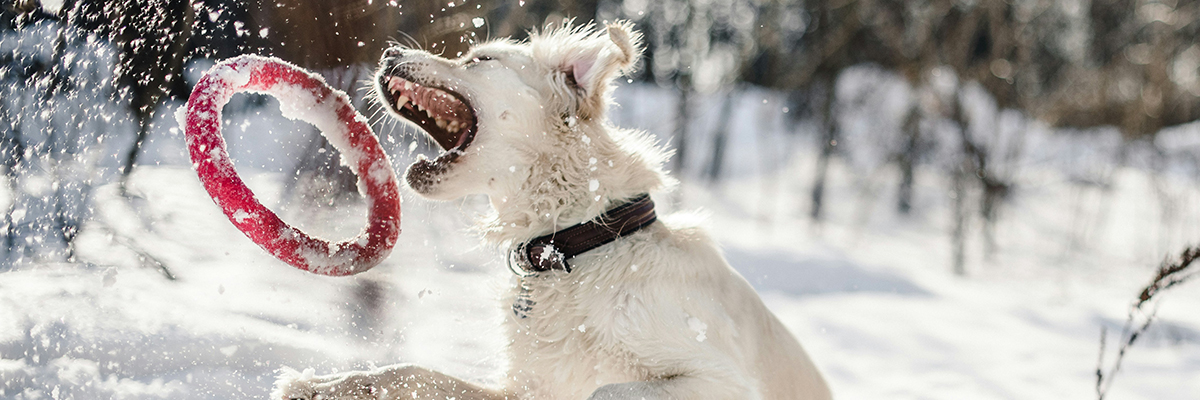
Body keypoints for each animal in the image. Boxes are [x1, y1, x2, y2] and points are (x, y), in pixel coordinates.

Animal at [273, 21, 830, 398]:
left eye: (480, 60)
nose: (389, 50)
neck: (579, 244)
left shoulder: (718, 378)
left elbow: (607, 389)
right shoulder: (525, 388)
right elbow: (410, 371)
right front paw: (320, 386)